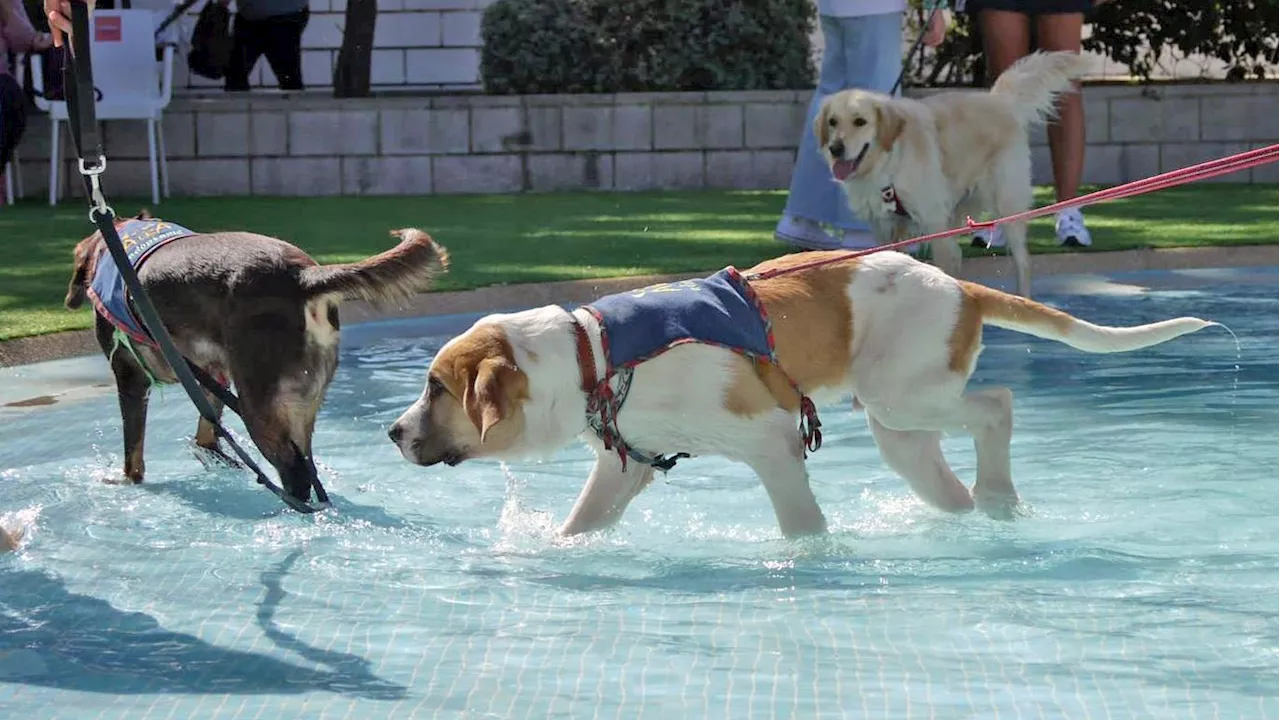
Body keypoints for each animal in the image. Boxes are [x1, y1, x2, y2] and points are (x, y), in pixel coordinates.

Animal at [63, 212, 450, 502]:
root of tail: (302, 277)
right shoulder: (213, 371)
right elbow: (207, 433)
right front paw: (214, 456)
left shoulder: (129, 375)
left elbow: (134, 452)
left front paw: (127, 481)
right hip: (300, 405)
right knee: (308, 468)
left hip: (258, 405)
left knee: (295, 476)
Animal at [386, 249, 1208, 535]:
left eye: (435, 388)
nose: (391, 433)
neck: (594, 355)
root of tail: (960, 283)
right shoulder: (626, 465)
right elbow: (582, 523)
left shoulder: (773, 440)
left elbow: (801, 526)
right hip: (899, 428)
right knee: (947, 476)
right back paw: (978, 514)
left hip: (904, 395)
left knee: (997, 406)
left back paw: (1001, 495)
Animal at [819, 50, 1090, 295]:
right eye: (832, 122)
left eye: (860, 121)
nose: (835, 148)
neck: (890, 160)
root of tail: (999, 100)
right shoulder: (886, 227)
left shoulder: (935, 223)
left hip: (1006, 203)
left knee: (1023, 261)